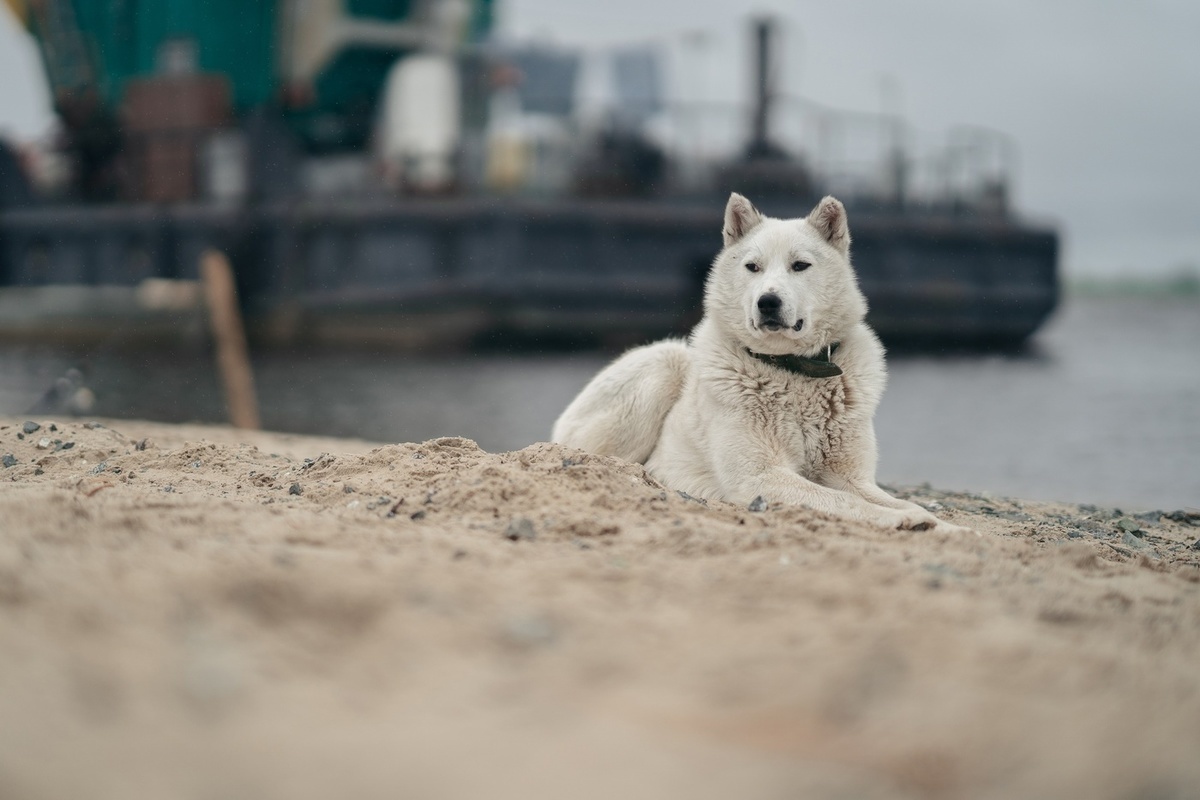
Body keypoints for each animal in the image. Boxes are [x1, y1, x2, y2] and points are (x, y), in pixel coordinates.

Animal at [552, 193, 955, 532]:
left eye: (800, 265)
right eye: (753, 267)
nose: (768, 302)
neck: (792, 368)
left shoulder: (851, 475)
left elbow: (889, 499)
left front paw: (940, 525)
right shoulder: (760, 476)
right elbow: (845, 502)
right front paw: (901, 520)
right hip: (665, 362)